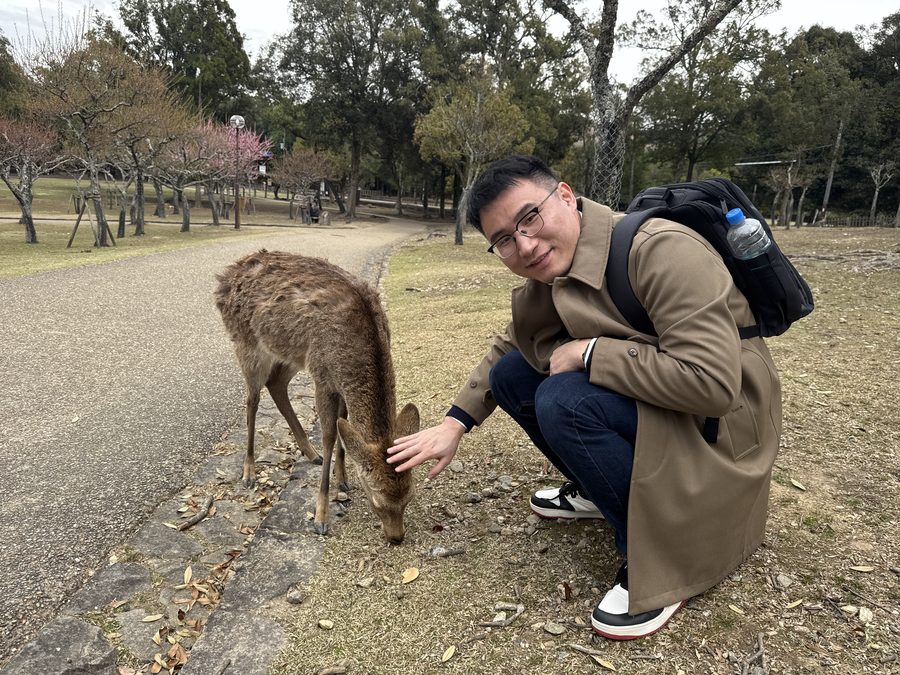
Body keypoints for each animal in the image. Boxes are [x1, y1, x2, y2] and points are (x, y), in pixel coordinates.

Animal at [214, 249, 419, 543]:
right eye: (377, 501)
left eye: (409, 497)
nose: (397, 538)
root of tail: (224, 278)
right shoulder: (323, 377)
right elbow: (330, 435)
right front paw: (321, 517)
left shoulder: (337, 380)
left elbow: (343, 425)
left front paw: (342, 478)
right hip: (248, 343)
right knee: (252, 400)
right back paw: (249, 471)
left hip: (292, 353)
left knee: (276, 384)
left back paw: (310, 453)